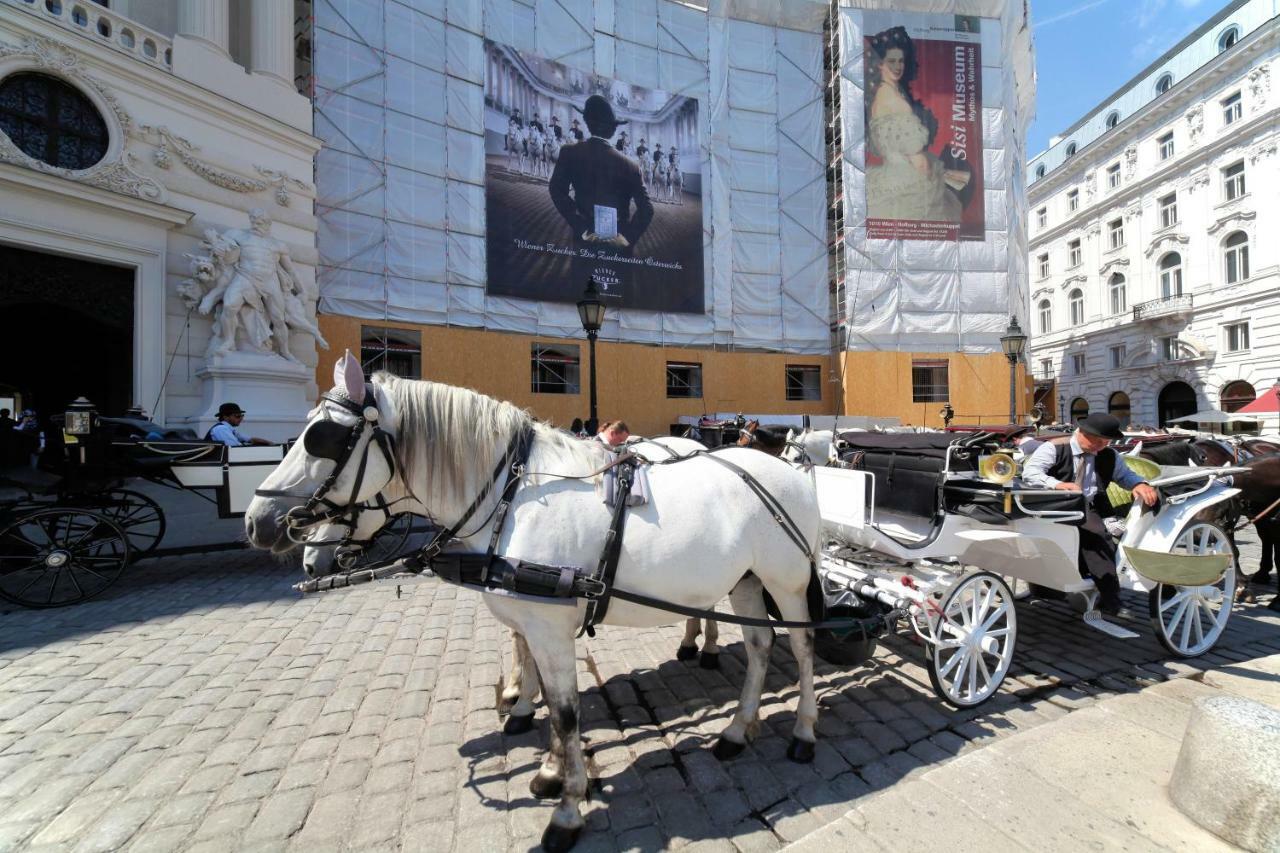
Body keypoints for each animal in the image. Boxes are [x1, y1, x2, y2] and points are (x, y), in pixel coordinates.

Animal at [249, 350, 824, 845]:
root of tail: (786, 468)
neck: (512, 496)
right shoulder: (535, 622)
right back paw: (737, 729)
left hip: (787, 581)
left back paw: (803, 731)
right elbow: (548, 698)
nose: (258, 523)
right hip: (745, 579)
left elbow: (566, 714)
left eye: (321, 438)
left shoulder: (549, 628)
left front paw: (567, 810)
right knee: (759, 647)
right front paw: (548, 766)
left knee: (800, 648)